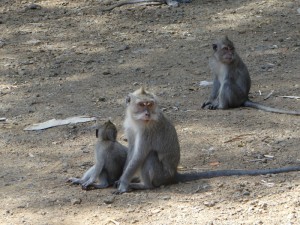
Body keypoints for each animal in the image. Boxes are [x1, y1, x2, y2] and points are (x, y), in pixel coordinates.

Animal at [113, 86, 300, 193]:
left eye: (150, 104)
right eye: (141, 105)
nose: (147, 113)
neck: (138, 121)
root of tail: (174, 175)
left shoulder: (149, 131)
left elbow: (139, 155)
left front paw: (123, 183)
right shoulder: (130, 126)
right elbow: (132, 152)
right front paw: (122, 178)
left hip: (161, 176)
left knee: (150, 156)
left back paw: (146, 186)